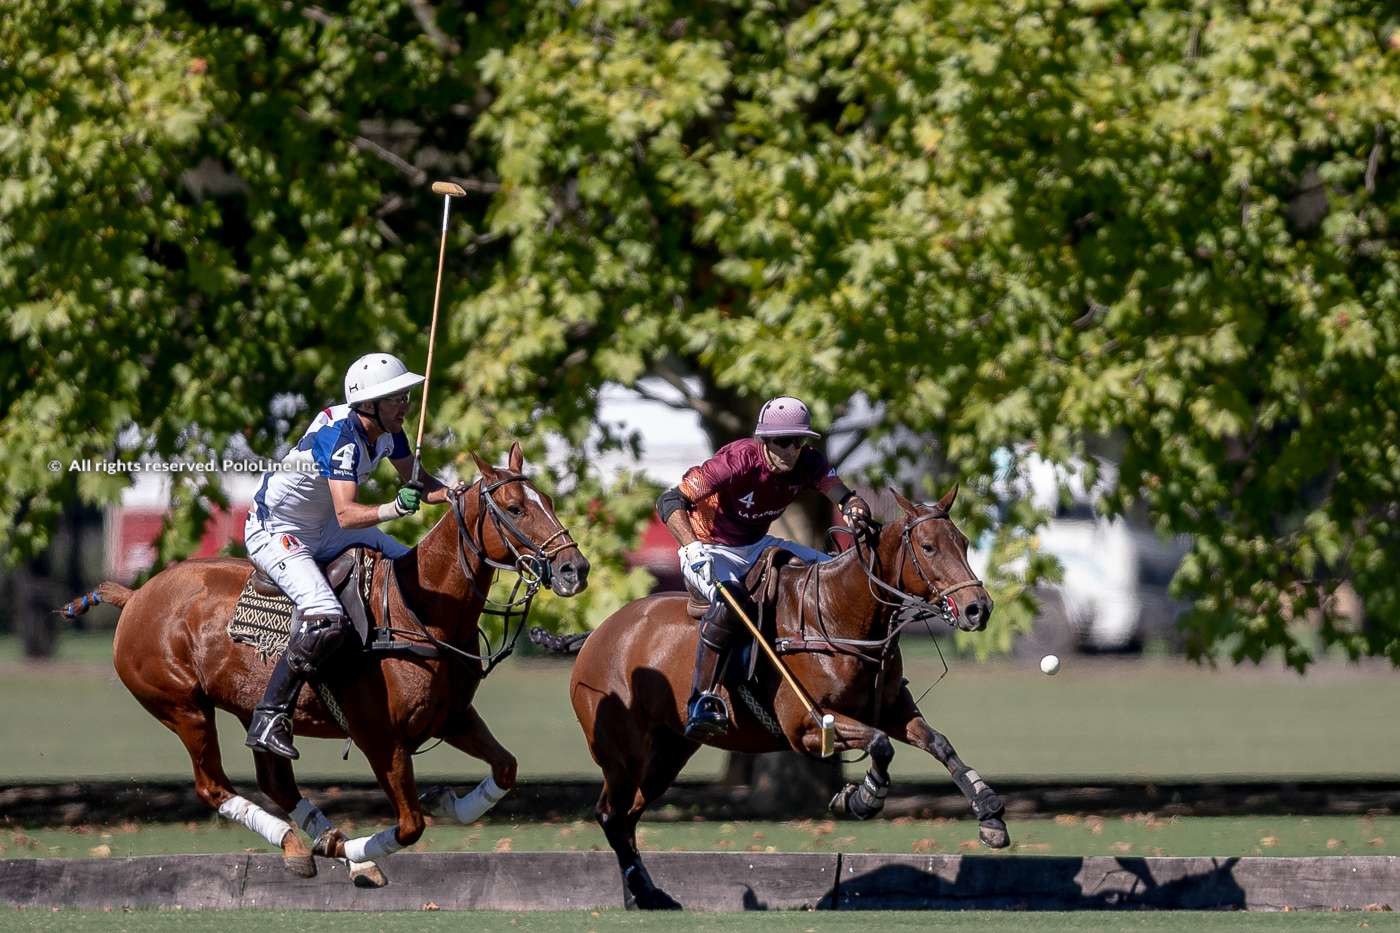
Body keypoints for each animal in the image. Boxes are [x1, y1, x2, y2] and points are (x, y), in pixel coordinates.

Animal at [60, 442, 582, 879]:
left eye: (548, 502)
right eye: (514, 509)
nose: (575, 569)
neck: (420, 609)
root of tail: (135, 596)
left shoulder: (452, 716)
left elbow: (506, 768)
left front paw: (445, 805)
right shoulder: (380, 738)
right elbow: (410, 824)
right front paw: (354, 853)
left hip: (248, 708)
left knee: (275, 778)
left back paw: (317, 841)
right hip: (182, 707)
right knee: (213, 785)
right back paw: (311, 844)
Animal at [562, 481, 1002, 902]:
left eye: (964, 542)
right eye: (928, 547)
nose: (978, 609)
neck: (841, 613)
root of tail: (596, 634)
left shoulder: (893, 708)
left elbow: (939, 743)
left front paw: (990, 815)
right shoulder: (808, 726)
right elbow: (880, 744)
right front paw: (862, 798)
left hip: (668, 751)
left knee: (628, 815)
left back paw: (645, 893)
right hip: (624, 750)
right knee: (611, 814)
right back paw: (642, 890)